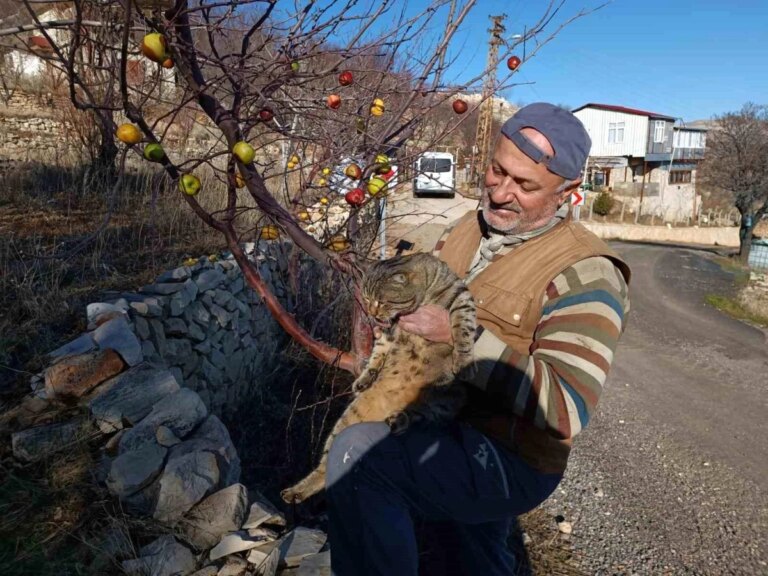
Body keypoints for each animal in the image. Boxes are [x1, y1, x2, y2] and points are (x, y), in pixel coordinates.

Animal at [280, 254, 474, 502]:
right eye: (366, 298)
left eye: (381, 302)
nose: (372, 314)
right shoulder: (387, 332)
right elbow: (377, 353)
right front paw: (365, 378)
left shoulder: (461, 296)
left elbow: (463, 325)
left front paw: (464, 358)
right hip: (348, 420)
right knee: (327, 465)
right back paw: (297, 491)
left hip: (442, 406)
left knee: (420, 416)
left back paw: (399, 418)